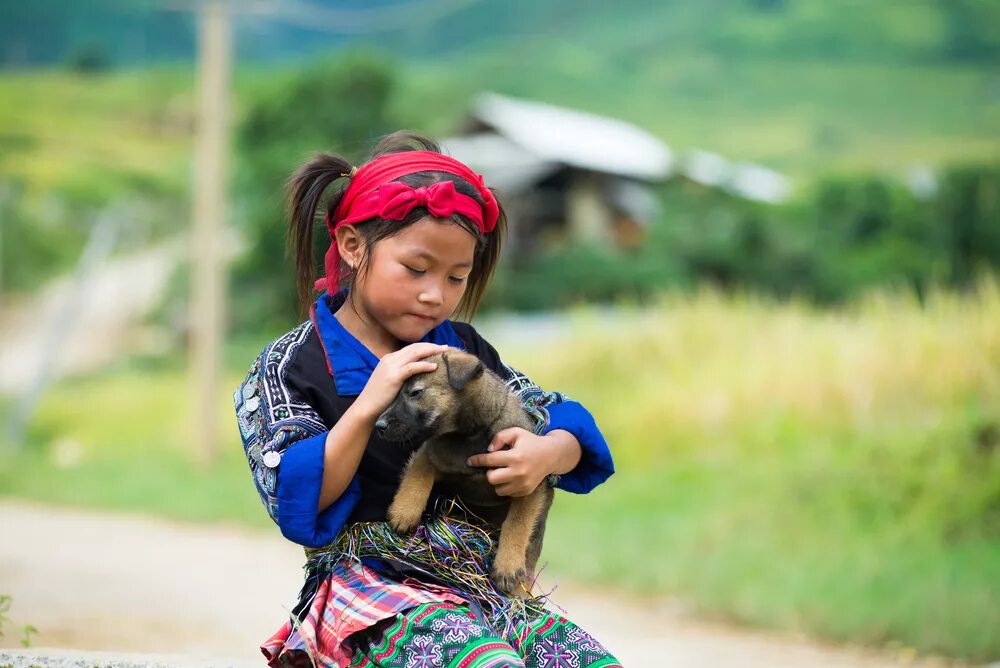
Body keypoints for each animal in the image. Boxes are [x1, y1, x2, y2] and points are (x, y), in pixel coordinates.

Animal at [378, 350, 560, 596]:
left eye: (416, 392)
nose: (379, 425)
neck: (469, 436)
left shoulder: (528, 484)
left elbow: (517, 524)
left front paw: (507, 566)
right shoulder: (431, 454)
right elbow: (417, 478)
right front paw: (404, 512)